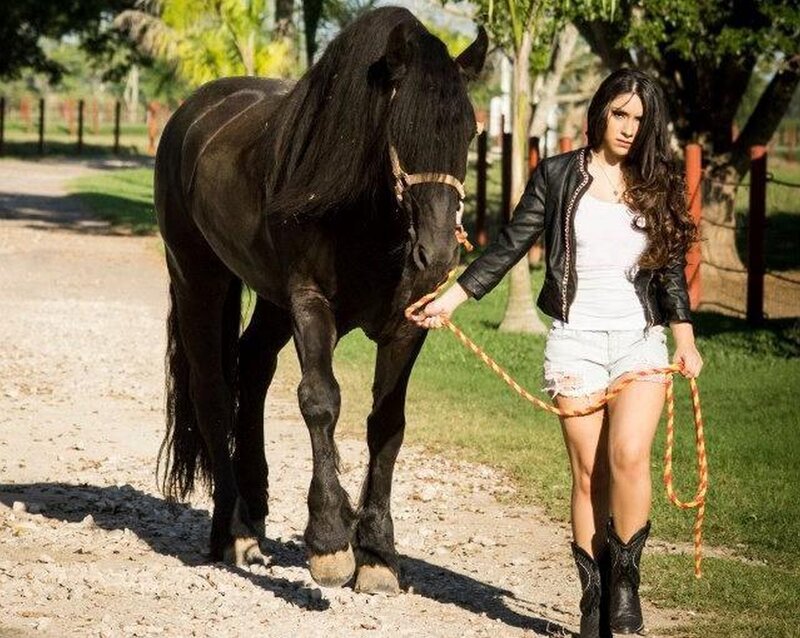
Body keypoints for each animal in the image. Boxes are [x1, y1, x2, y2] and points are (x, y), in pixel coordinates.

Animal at [154, 6, 487, 594]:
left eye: (468, 132)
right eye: (399, 129)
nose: (439, 254)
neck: (367, 219)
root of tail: (192, 116)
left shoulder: (408, 325)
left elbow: (387, 424)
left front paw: (377, 554)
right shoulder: (310, 304)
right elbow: (320, 400)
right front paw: (331, 541)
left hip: (270, 300)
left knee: (253, 367)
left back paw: (255, 510)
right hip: (198, 278)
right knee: (213, 391)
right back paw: (233, 532)